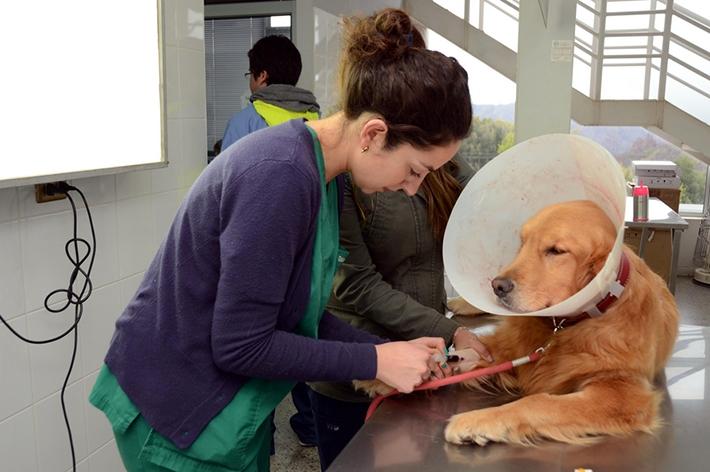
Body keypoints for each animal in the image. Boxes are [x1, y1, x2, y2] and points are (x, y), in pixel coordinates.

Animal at [358, 199, 680, 446]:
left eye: (555, 251)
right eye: (523, 242)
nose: (497, 286)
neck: (566, 326)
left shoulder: (623, 394)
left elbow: (538, 401)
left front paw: (476, 420)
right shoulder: (507, 346)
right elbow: (469, 351)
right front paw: (385, 373)